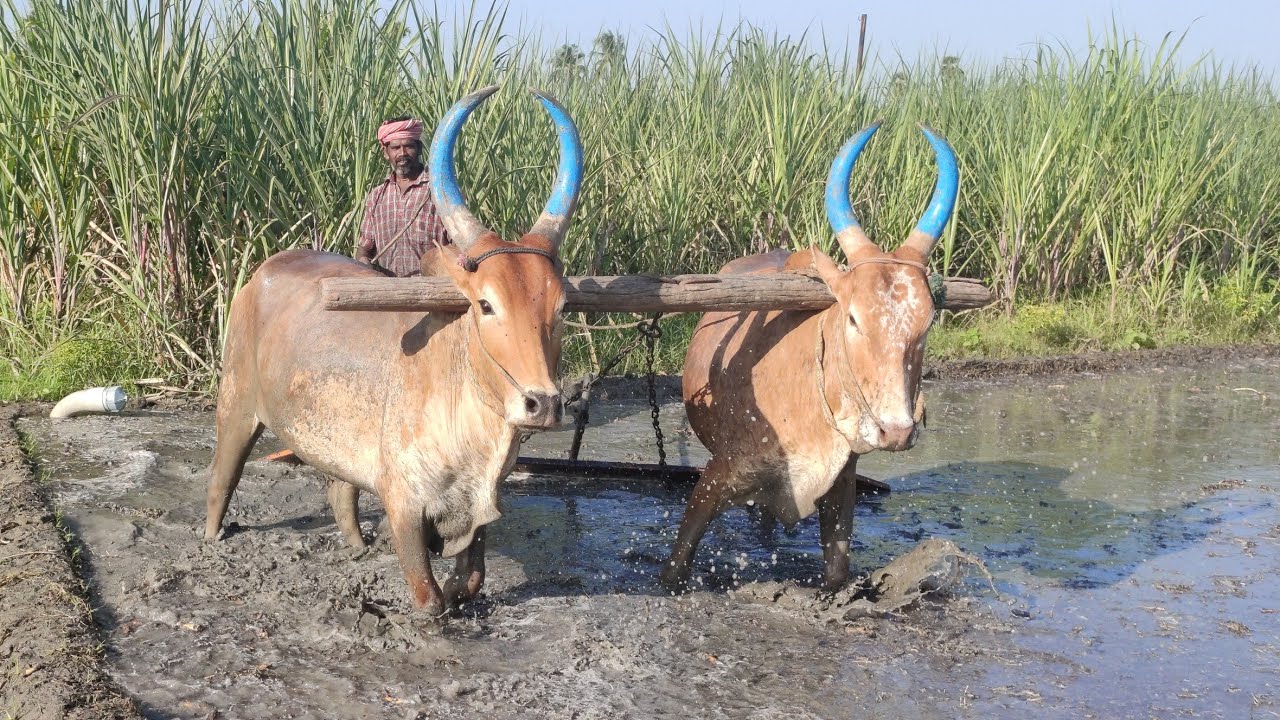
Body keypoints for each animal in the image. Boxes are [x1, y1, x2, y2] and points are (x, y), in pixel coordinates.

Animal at [204, 86, 581, 617]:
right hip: (236, 405)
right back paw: (213, 537)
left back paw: (357, 545)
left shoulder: (482, 506)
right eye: (485, 303)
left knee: (340, 488)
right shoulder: (404, 504)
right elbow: (431, 602)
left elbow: (471, 581)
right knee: (222, 476)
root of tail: (262, 272)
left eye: (562, 305)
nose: (543, 404)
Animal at [661, 122, 959, 592]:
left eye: (928, 321)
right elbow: (675, 567)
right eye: (853, 317)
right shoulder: (718, 476)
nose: (895, 431)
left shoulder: (842, 484)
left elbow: (836, 571)